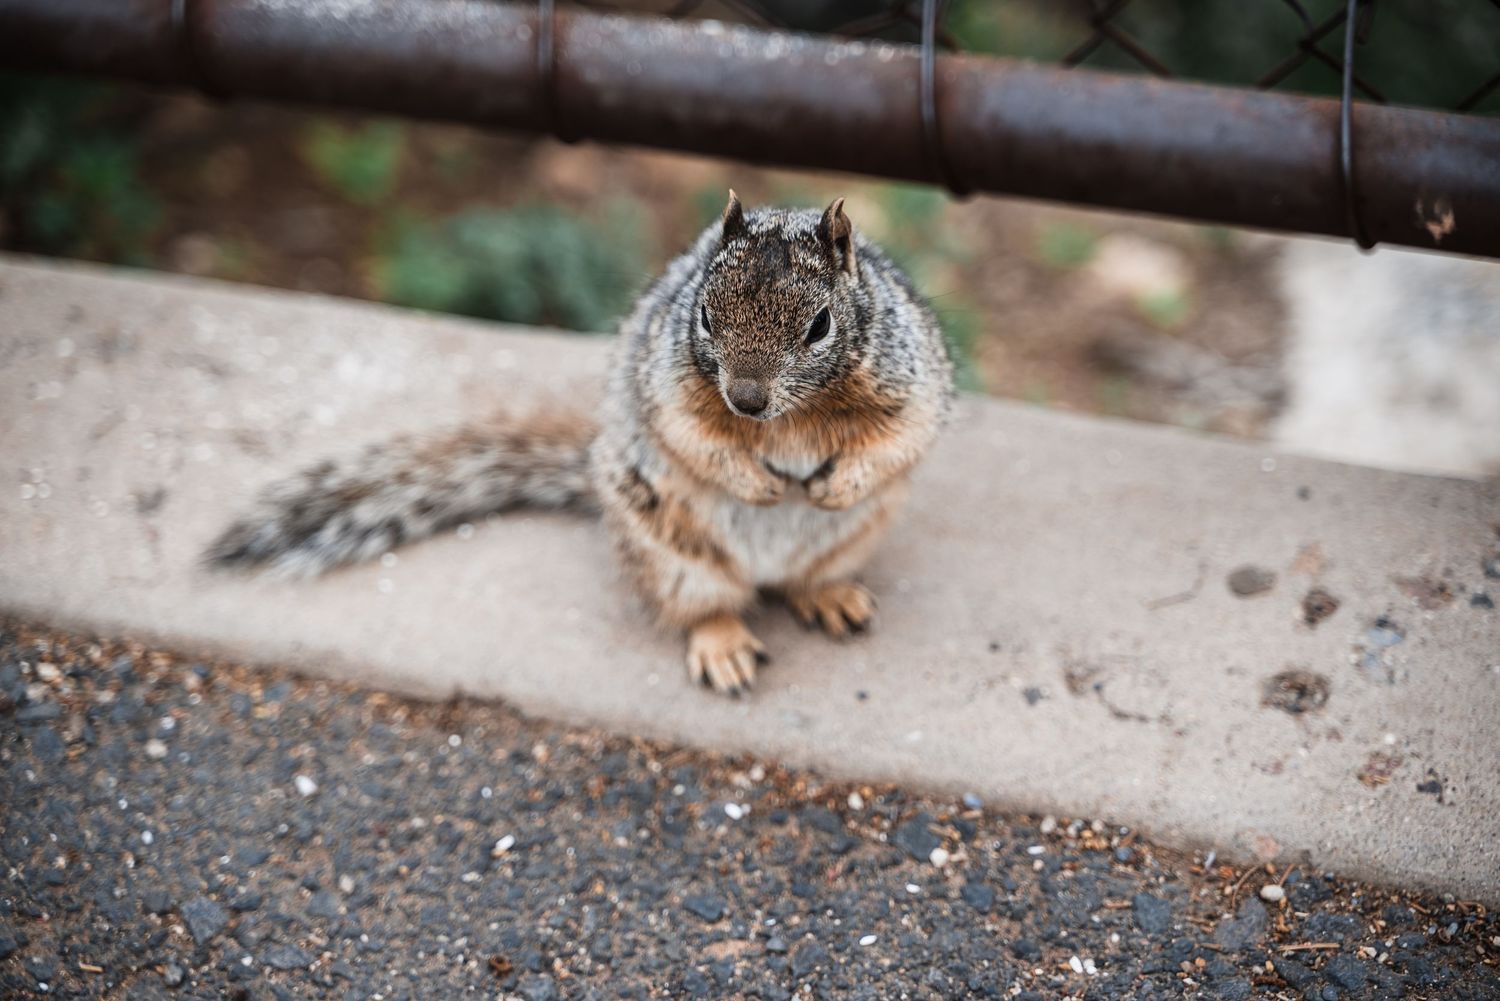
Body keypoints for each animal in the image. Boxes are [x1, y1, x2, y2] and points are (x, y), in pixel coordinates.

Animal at [206, 192, 954, 695]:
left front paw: (836, 483)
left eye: (821, 325)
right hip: (671, 556)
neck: (790, 417)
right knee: (705, 605)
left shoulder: (911, 373)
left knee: (807, 578)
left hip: (851, 540)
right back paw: (722, 644)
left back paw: (828, 594)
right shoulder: (664, 382)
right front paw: (757, 481)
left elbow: (906, 434)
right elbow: (688, 434)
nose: (746, 398)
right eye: (704, 316)